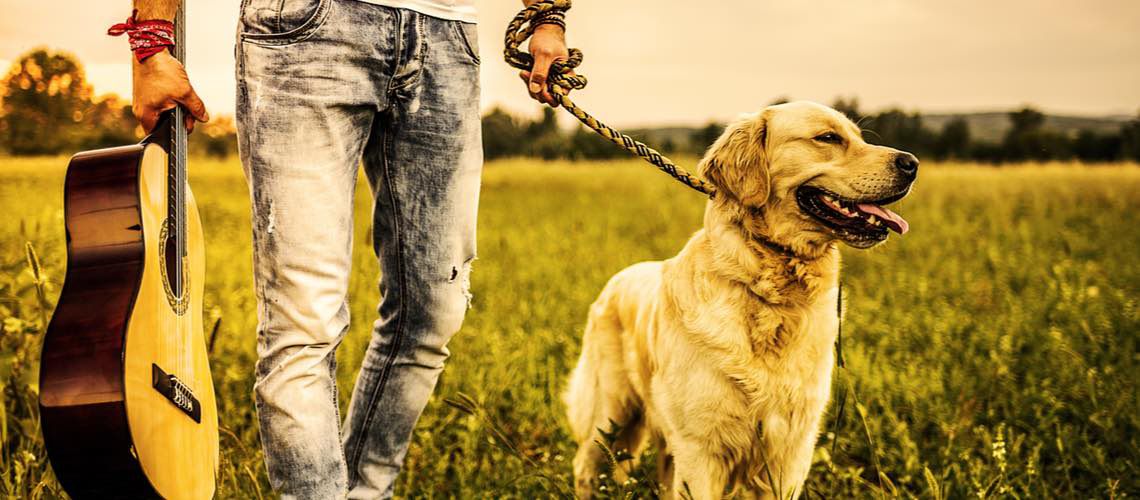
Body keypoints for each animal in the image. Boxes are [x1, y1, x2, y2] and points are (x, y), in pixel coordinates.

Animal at [567, 99, 916, 498]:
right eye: (828, 138)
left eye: (858, 137)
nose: (911, 163)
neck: (768, 293)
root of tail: (617, 278)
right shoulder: (700, 448)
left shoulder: (791, 451)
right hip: (609, 414)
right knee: (586, 466)